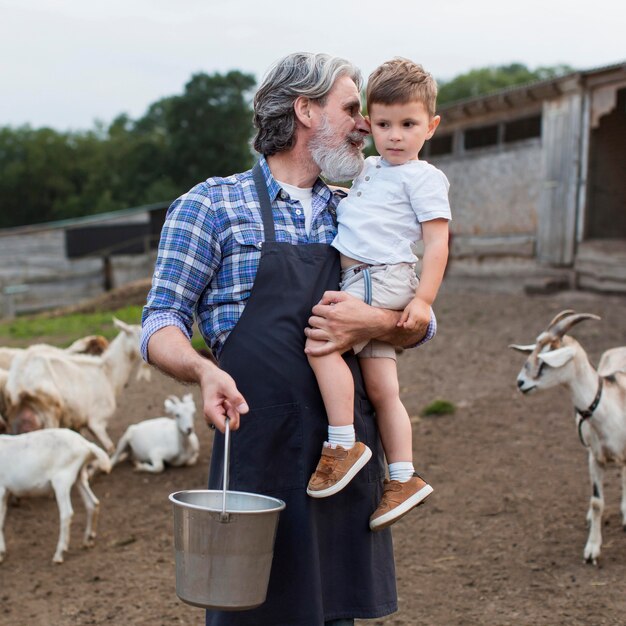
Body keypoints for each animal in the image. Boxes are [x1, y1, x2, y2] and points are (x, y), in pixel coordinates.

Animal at [0, 426, 111, 564]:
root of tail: (85, 445)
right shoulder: (5, 491)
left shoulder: (1, 489)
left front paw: (0, 553)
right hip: (79, 477)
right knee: (92, 503)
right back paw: (88, 540)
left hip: (62, 480)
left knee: (66, 513)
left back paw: (59, 554)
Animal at [6, 320, 147, 450]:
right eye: (139, 334)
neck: (108, 374)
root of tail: (18, 379)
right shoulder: (97, 421)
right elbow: (110, 448)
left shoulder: (77, 422)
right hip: (50, 412)